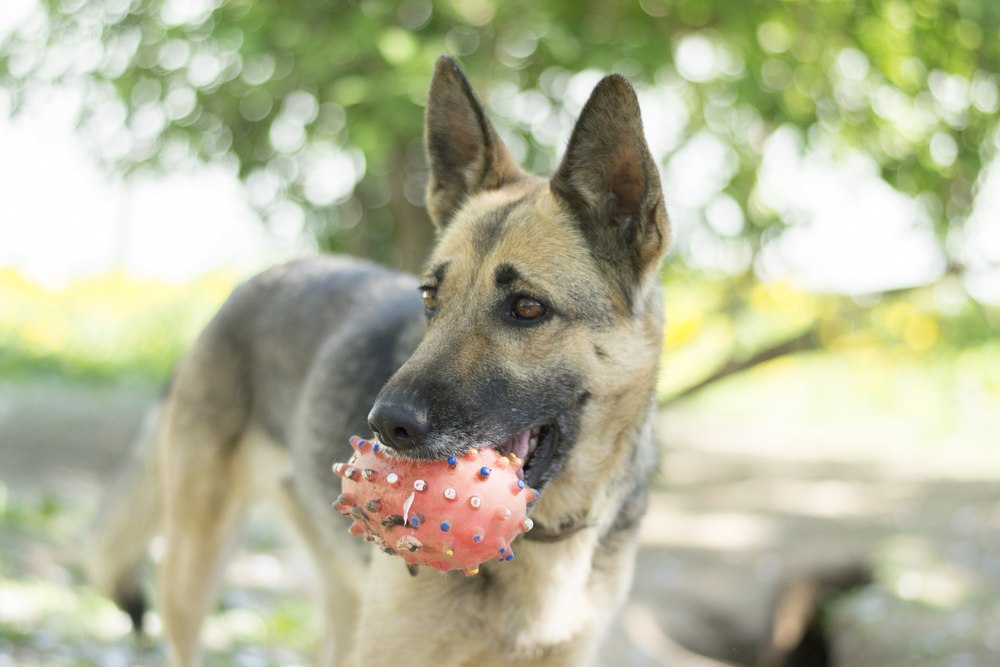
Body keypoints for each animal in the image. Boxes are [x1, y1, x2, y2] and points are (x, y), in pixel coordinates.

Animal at [90, 56, 668, 667]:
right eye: (429, 298)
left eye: (528, 307)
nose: (386, 425)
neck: (548, 535)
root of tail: (246, 288)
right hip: (193, 568)